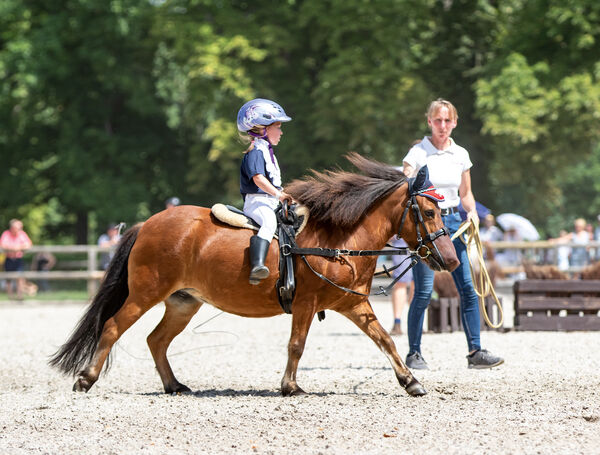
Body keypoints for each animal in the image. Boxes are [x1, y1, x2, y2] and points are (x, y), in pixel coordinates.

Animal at [49, 153, 458, 396]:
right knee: (113, 327)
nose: (452, 262)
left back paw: (174, 385)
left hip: (183, 302)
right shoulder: (306, 303)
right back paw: (86, 379)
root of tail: (147, 224)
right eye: (428, 212)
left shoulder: (352, 304)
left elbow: (385, 340)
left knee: (157, 340)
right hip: (145, 294)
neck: (339, 241)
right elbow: (297, 345)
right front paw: (290, 386)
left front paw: (411, 381)